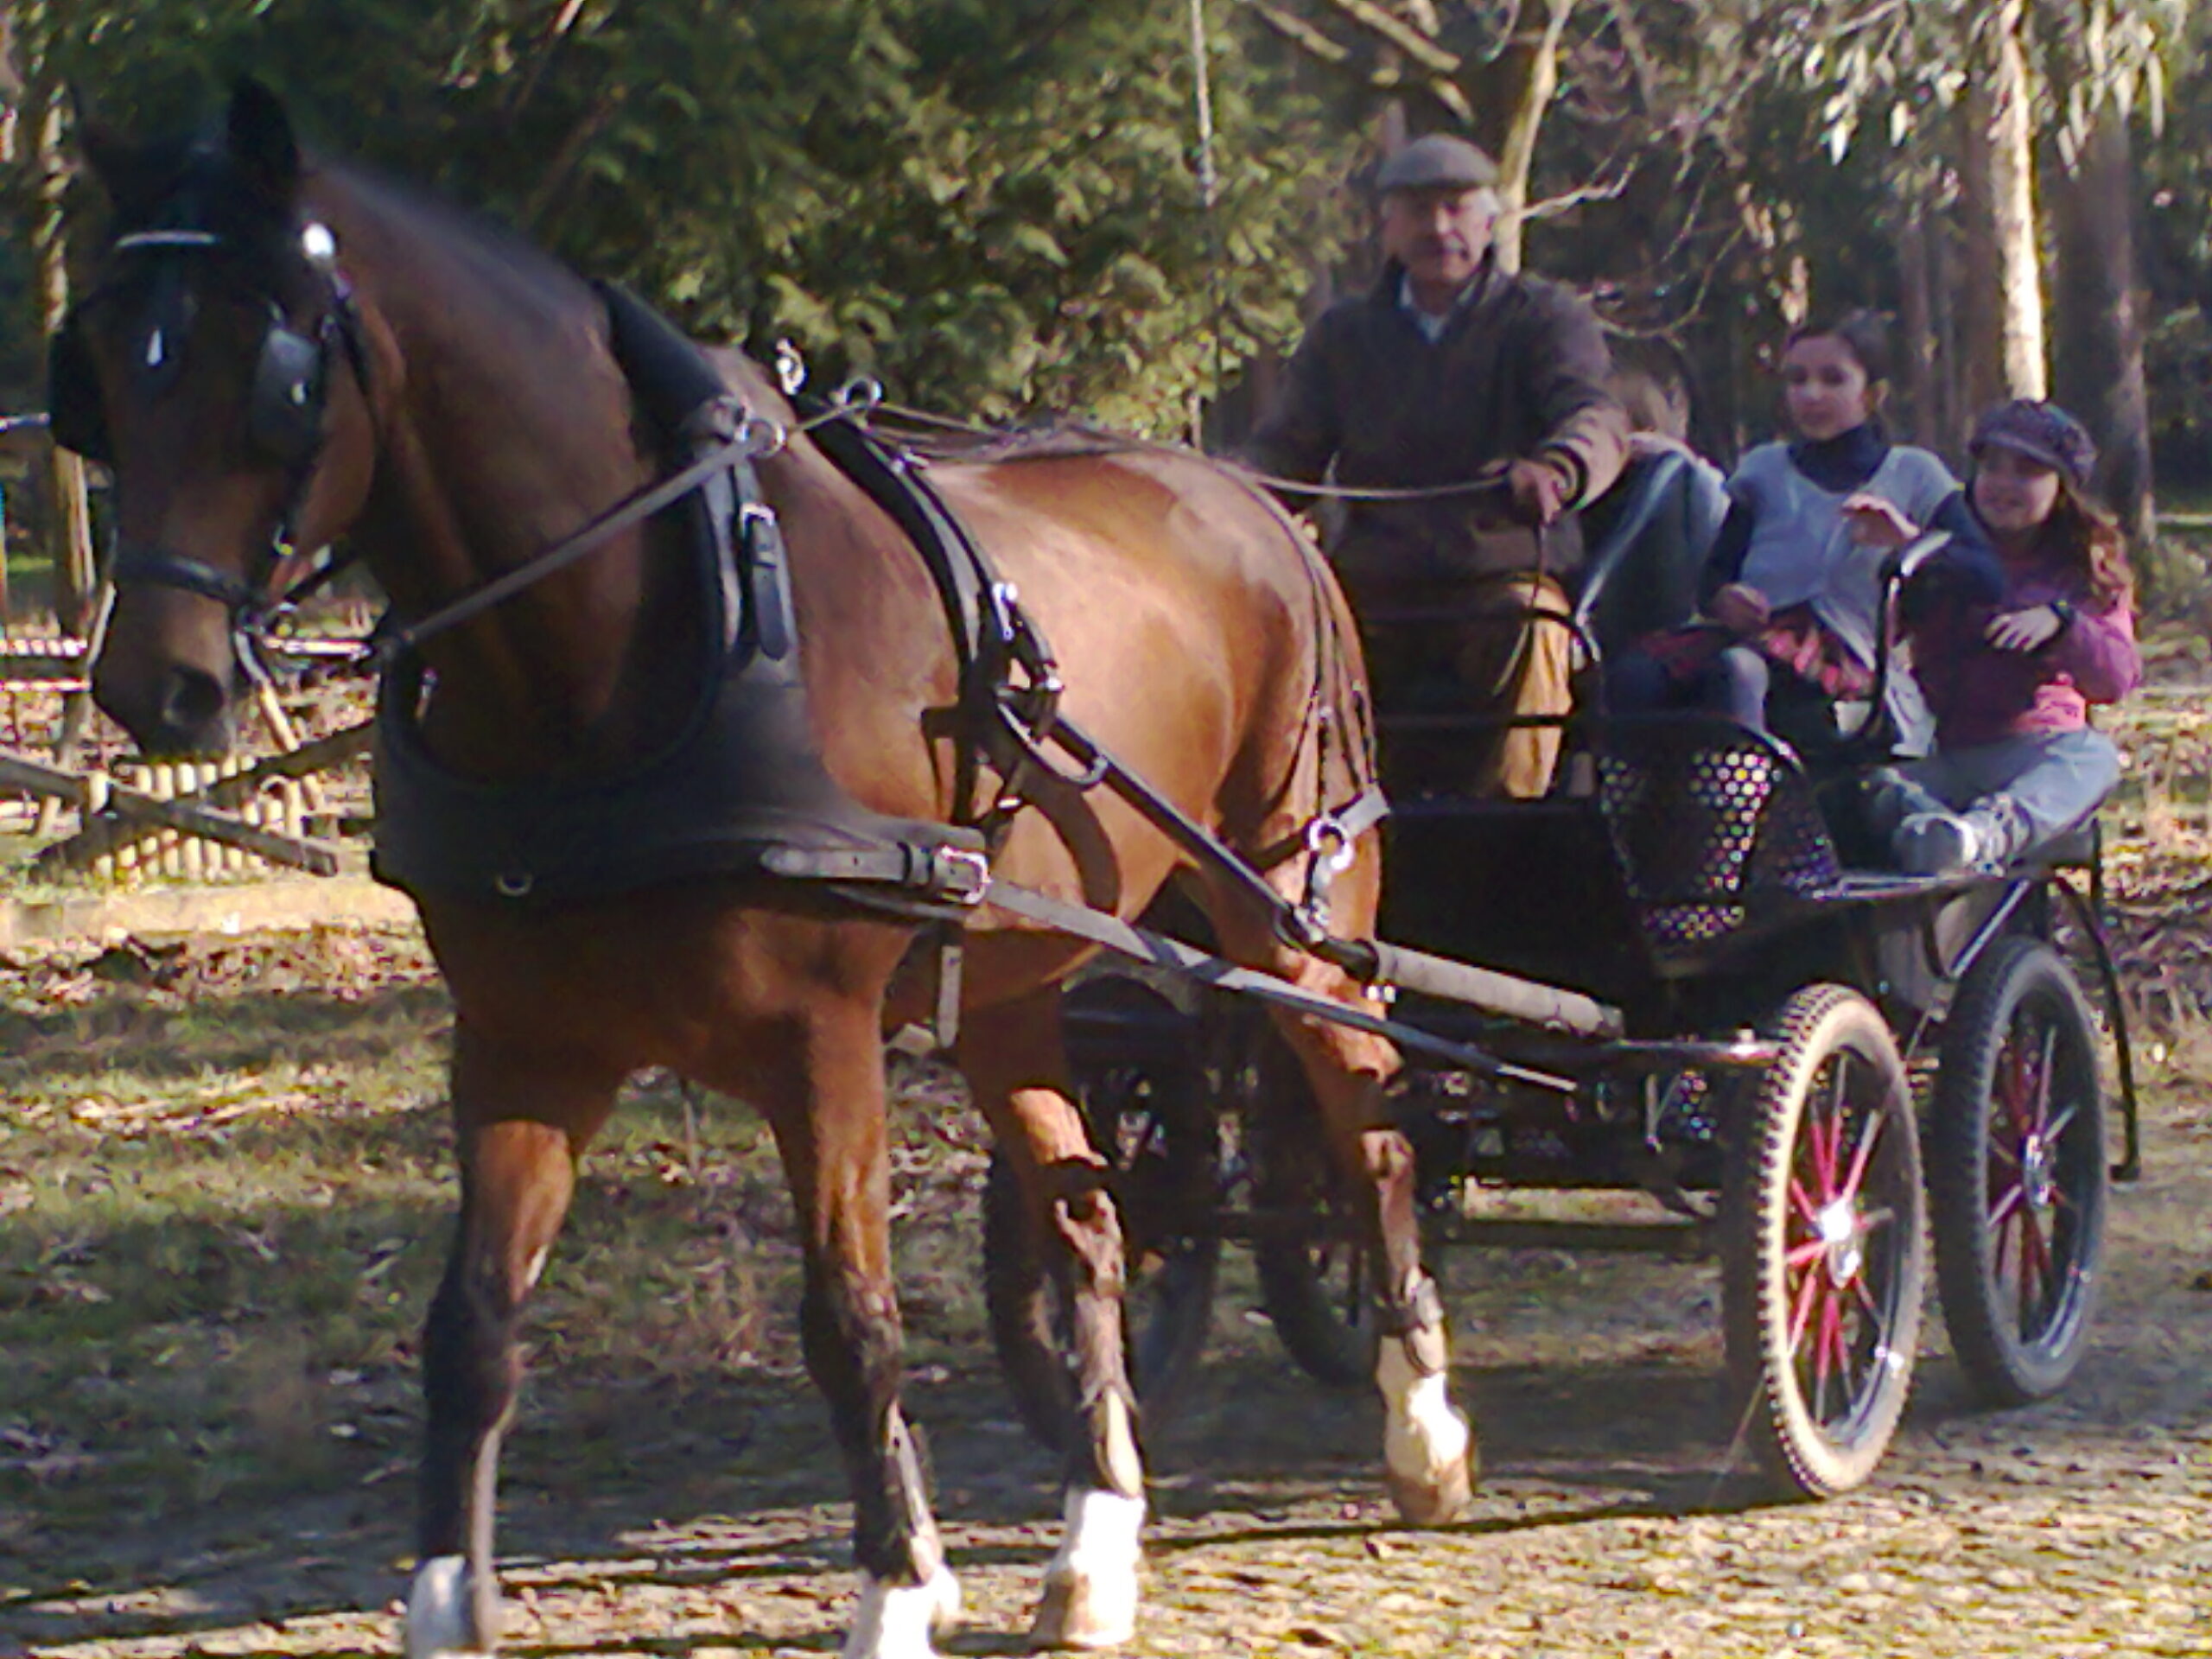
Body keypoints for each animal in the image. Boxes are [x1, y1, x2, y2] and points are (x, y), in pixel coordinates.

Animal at [69, 87, 1478, 1659]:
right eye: (103, 371)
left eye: (275, 378)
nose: (154, 686)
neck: (628, 638)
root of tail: (1260, 504)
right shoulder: (525, 1045)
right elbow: (472, 1327)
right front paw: (445, 1597)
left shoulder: (822, 1043)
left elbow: (848, 1319)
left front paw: (897, 1588)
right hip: (1009, 987)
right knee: (1092, 1222)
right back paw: (1095, 1543)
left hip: (1296, 910)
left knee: (1372, 1137)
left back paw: (1424, 1436)